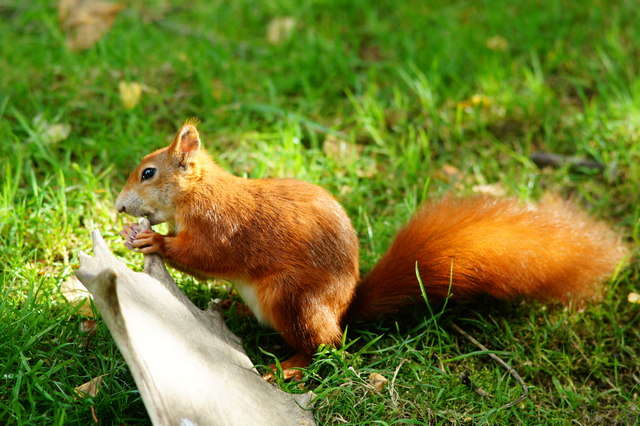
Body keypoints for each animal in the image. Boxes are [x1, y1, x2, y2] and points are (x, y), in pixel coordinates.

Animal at [115, 121, 624, 382]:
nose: (118, 205)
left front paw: (152, 241)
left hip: (293, 299)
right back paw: (235, 311)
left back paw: (289, 367)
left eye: (147, 173)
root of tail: (345, 307)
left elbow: (204, 259)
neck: (198, 193)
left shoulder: (223, 228)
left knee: (327, 346)